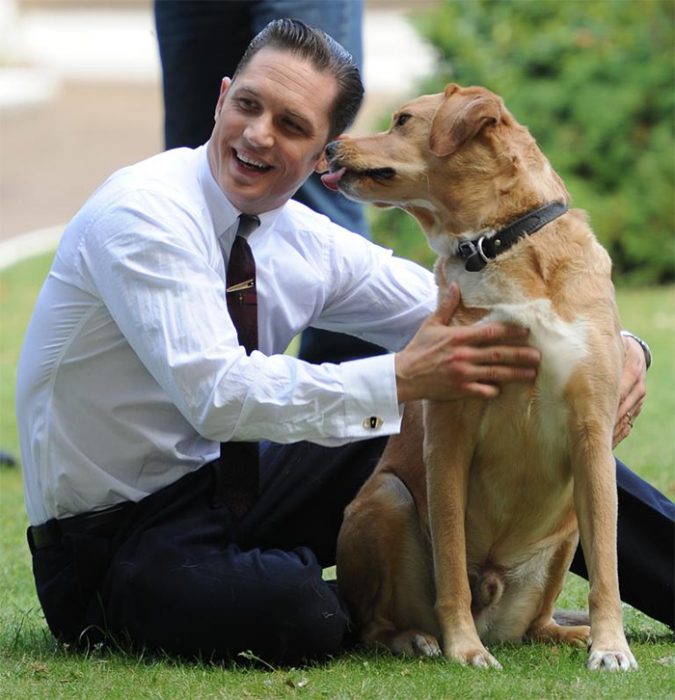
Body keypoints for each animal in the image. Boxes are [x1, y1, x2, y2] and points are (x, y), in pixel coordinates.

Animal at [328, 85, 640, 668]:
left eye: (402, 120)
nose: (332, 147)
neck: (499, 243)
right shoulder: (449, 436)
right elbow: (450, 559)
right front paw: (465, 650)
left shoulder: (592, 432)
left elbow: (607, 567)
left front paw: (611, 647)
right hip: (387, 497)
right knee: (375, 625)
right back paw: (417, 638)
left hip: (567, 529)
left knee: (538, 624)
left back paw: (571, 634)